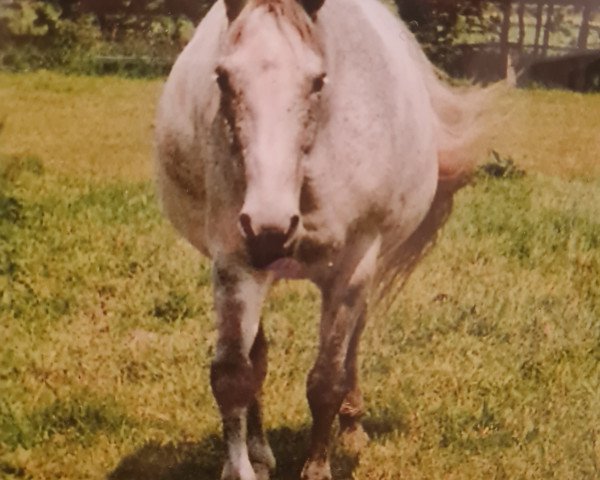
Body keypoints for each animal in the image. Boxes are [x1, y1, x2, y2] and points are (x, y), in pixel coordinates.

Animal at [154, 0, 492, 480]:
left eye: (317, 81)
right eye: (222, 76)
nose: (270, 226)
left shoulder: (352, 267)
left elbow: (325, 381)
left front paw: (318, 464)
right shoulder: (234, 262)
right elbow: (234, 376)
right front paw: (242, 465)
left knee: (353, 343)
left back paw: (351, 425)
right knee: (258, 356)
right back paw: (260, 451)